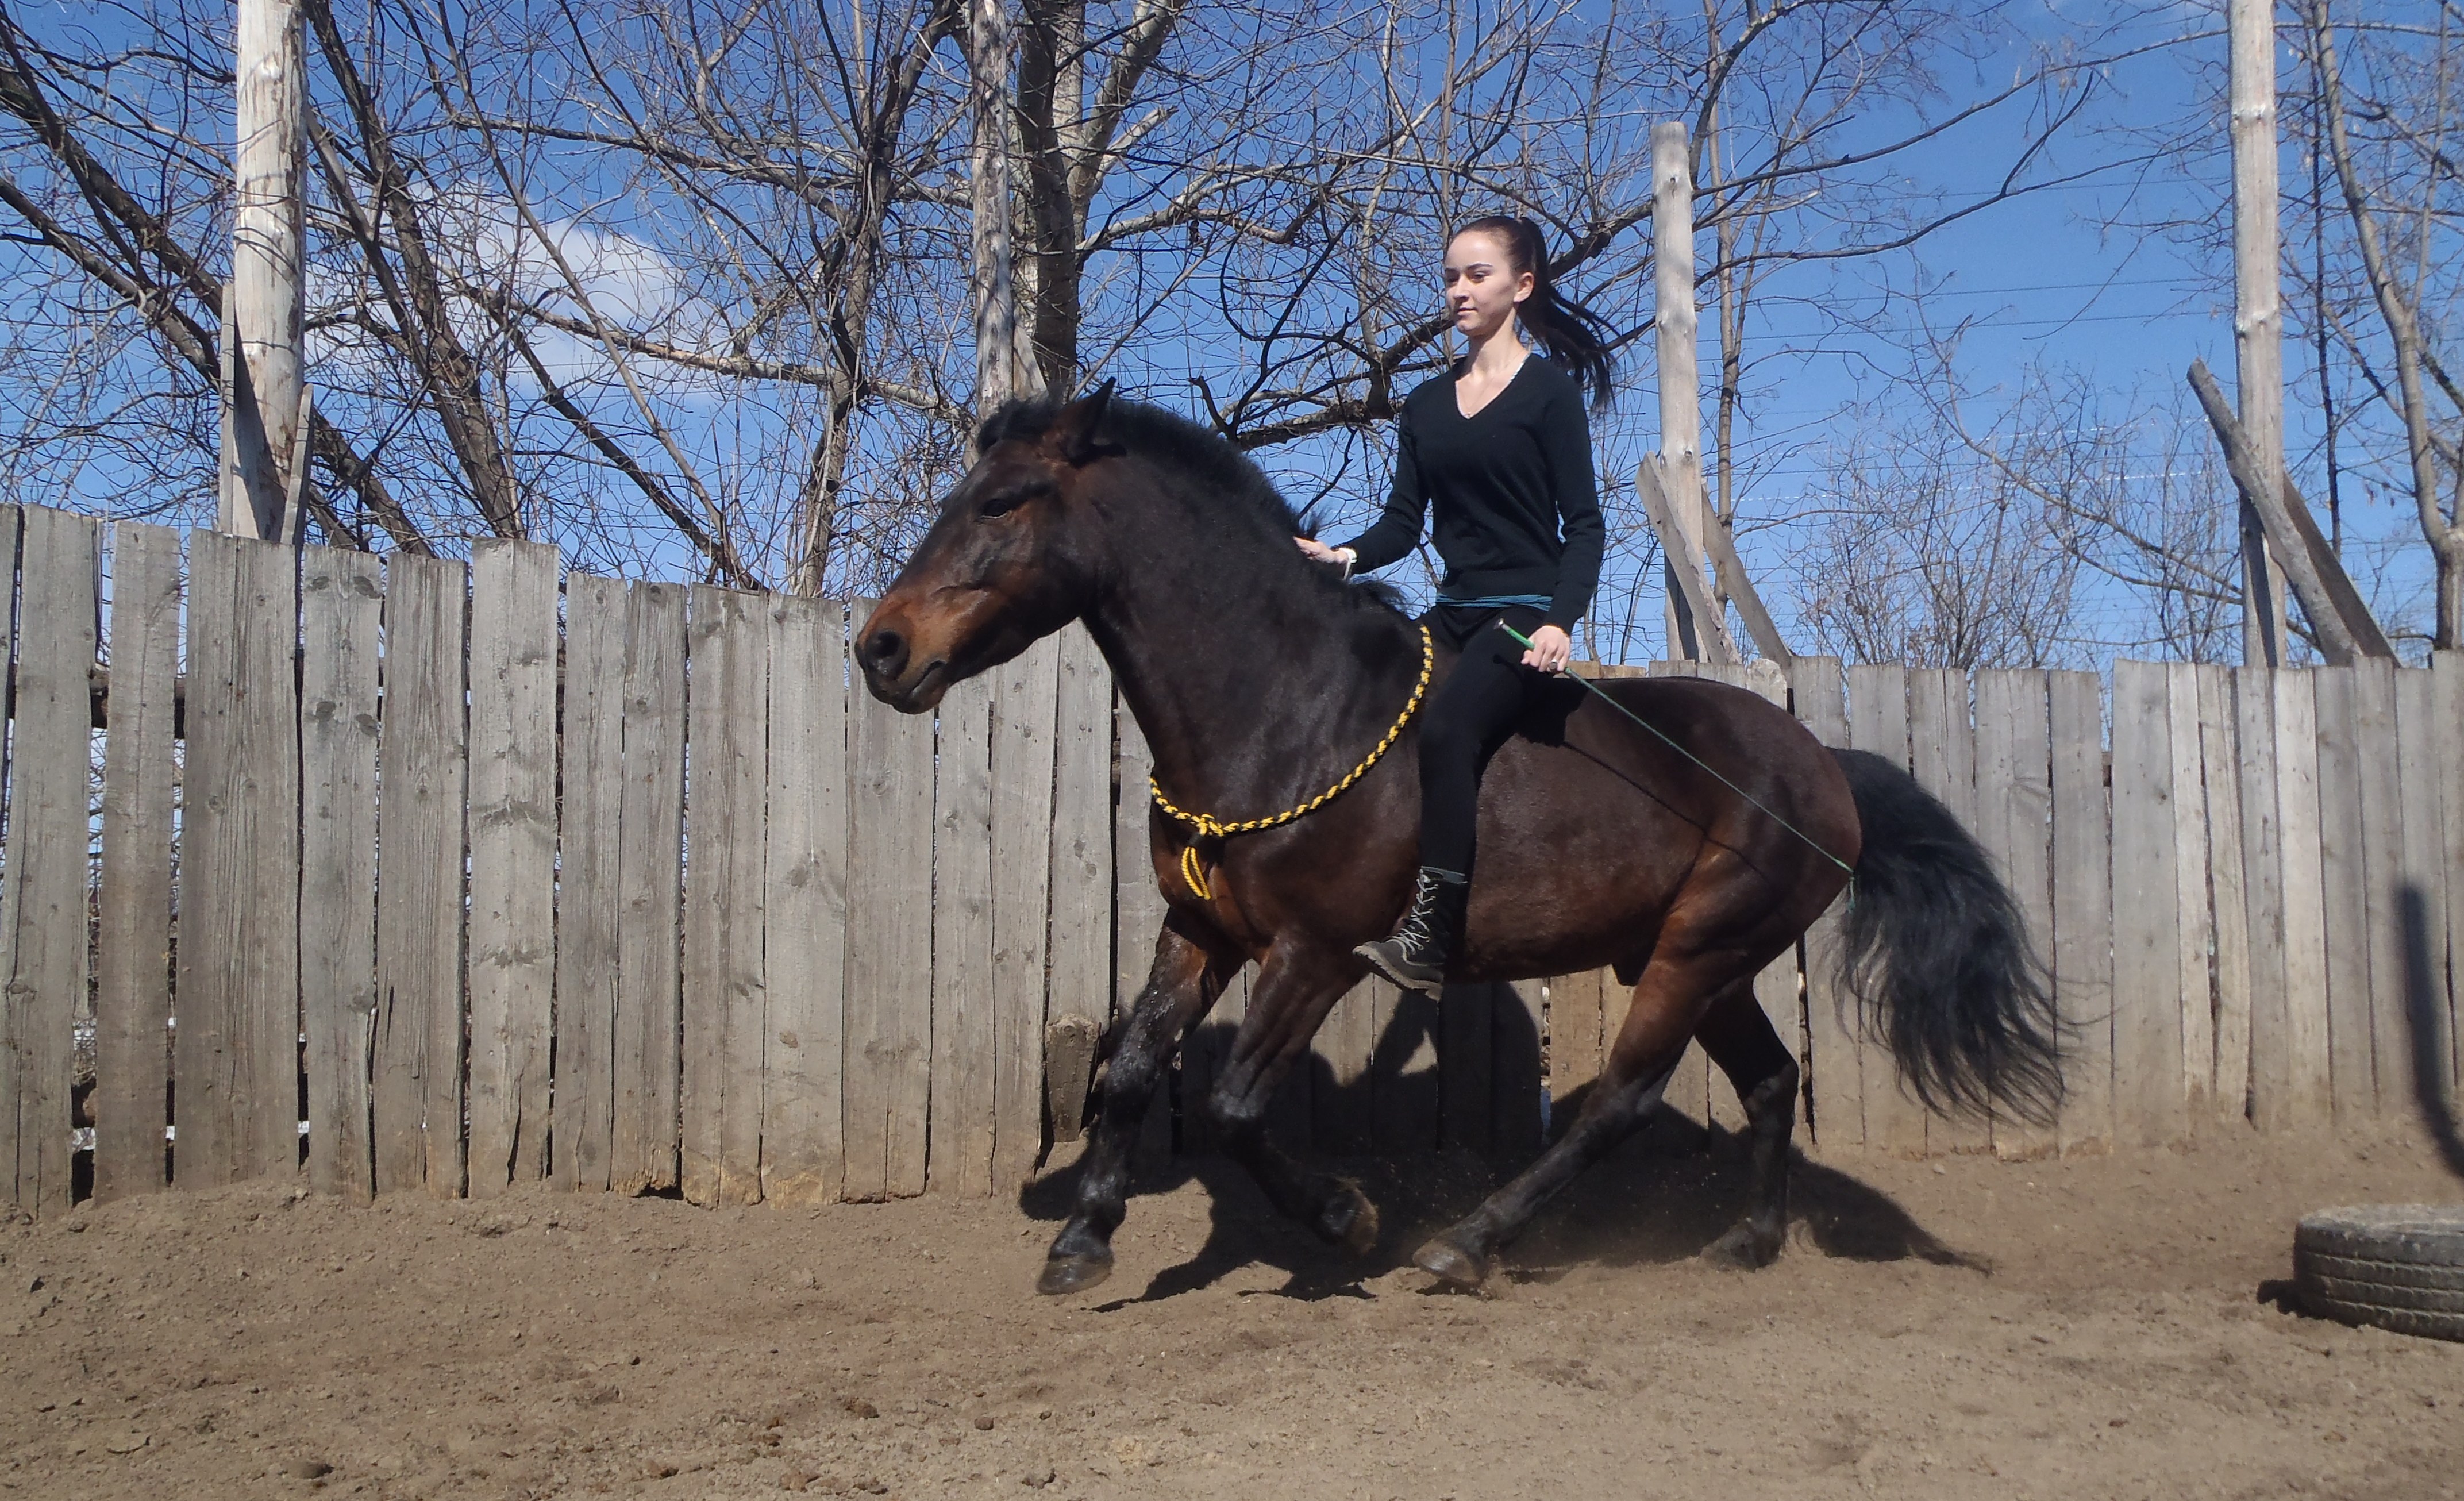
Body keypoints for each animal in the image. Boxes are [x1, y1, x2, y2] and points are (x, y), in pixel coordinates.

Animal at [857, 391, 2069, 1291]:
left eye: (1002, 501)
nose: (879, 648)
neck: (1287, 708)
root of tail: (1824, 768)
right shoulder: (1200, 930)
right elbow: (1129, 1066)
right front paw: (1081, 1240)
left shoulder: (1317, 954)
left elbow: (1235, 1105)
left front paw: (1343, 1220)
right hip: (1702, 960)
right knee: (1771, 1082)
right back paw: (1747, 1241)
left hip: (1695, 956)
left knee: (1620, 1104)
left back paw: (1465, 1243)